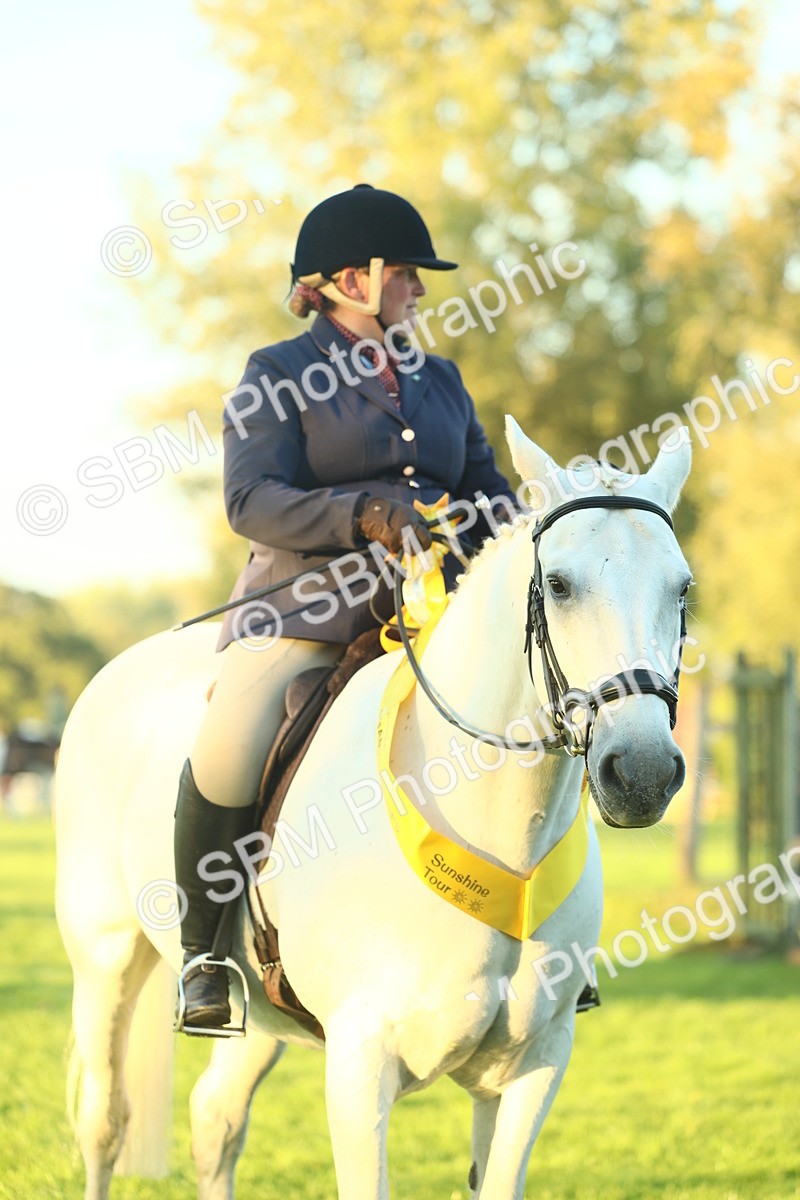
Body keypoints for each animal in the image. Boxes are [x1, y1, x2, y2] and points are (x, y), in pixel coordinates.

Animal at [54, 417, 693, 1200]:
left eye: (682, 588)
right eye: (561, 585)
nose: (642, 772)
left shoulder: (532, 1067)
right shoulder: (361, 1068)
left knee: (215, 1119)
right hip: (105, 958)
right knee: (104, 1119)